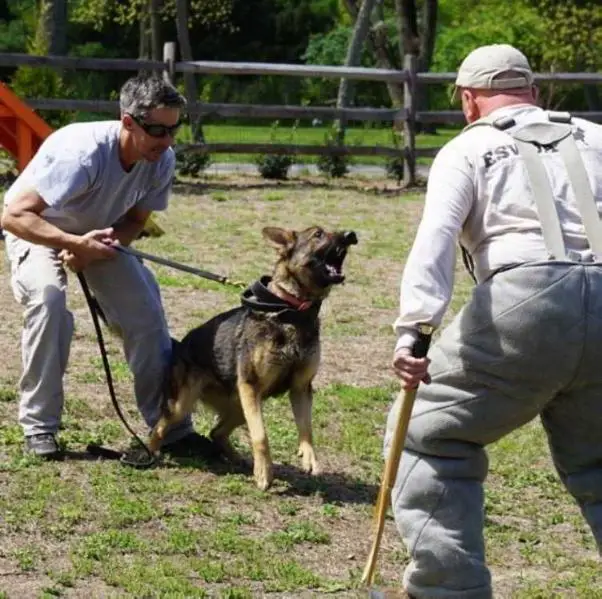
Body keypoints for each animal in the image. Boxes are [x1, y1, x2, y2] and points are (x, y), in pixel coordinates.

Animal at [148, 227, 356, 490]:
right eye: (318, 234)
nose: (351, 234)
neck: (292, 311)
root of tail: (182, 344)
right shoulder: (251, 386)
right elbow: (260, 436)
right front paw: (264, 472)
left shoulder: (300, 389)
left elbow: (306, 429)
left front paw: (309, 458)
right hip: (186, 404)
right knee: (158, 429)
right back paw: (149, 455)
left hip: (242, 404)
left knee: (216, 432)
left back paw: (237, 459)